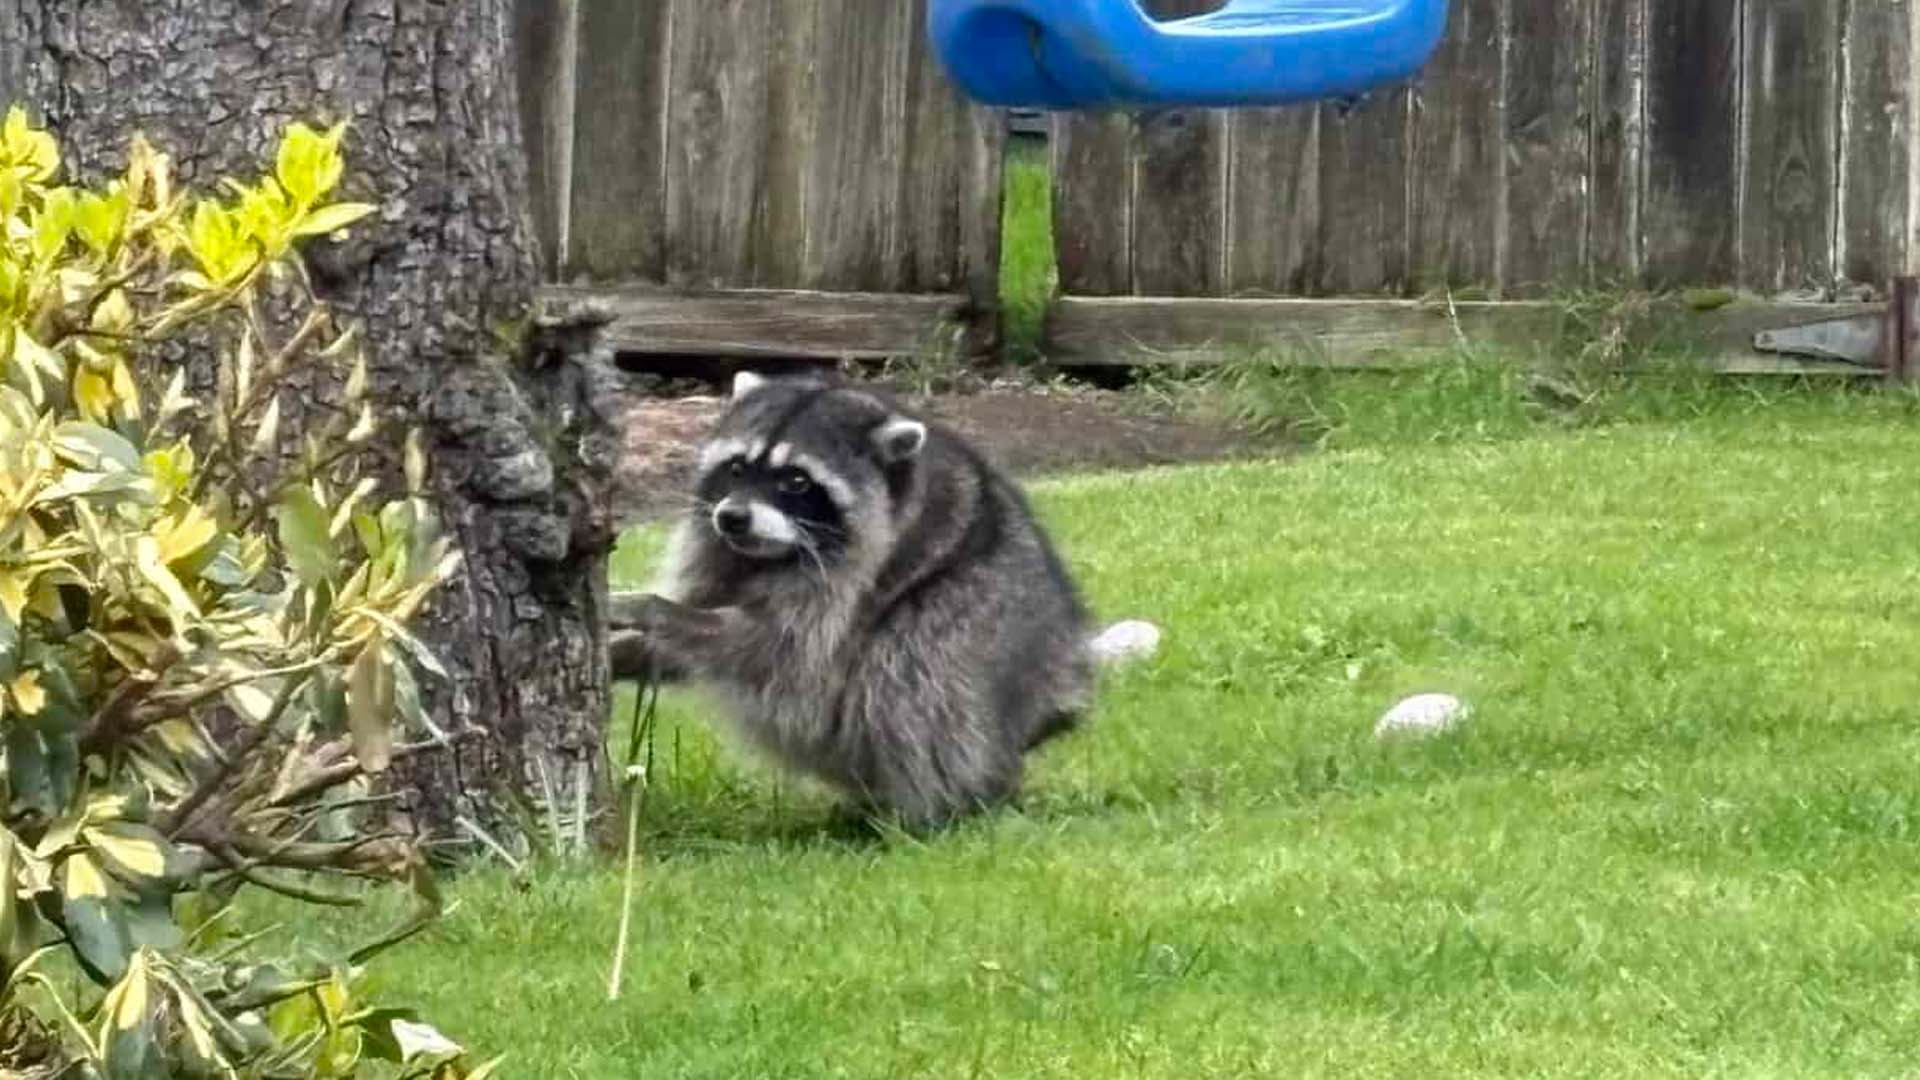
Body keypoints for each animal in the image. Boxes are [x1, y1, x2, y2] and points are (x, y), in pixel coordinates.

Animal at [614, 371, 1094, 826]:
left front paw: (656, 610)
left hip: (978, 629)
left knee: (911, 669)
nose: (732, 517)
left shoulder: (851, 584)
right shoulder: (720, 555)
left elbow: (771, 651)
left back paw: (933, 808)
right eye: (735, 468)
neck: (772, 556)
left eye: (796, 481)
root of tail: (1056, 696)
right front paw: (628, 650)